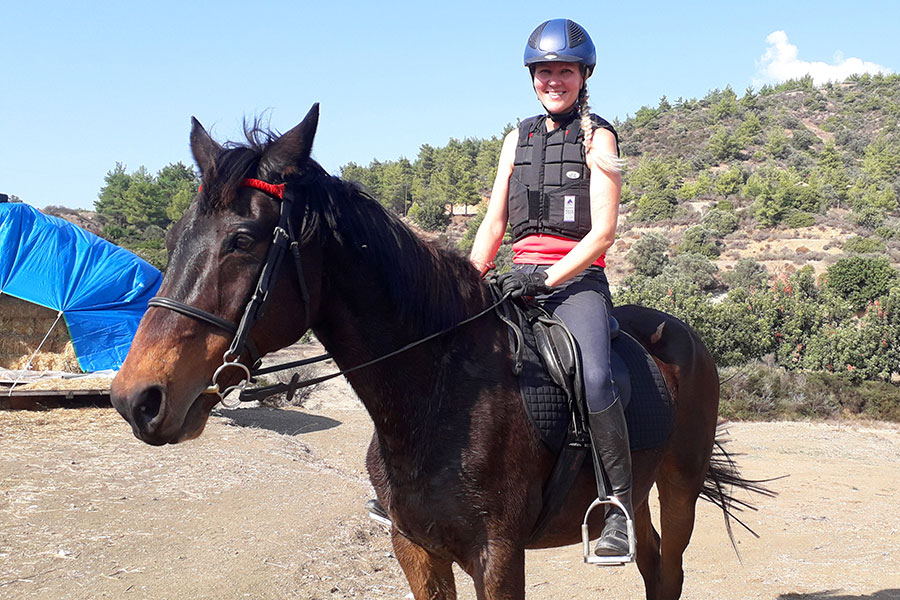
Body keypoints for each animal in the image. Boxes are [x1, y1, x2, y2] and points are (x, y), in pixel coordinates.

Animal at [111, 104, 761, 600]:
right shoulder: (416, 549)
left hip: (678, 486)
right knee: (651, 562)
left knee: (667, 568)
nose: (137, 399)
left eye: (243, 241)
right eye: (174, 239)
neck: (437, 393)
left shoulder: (497, 556)